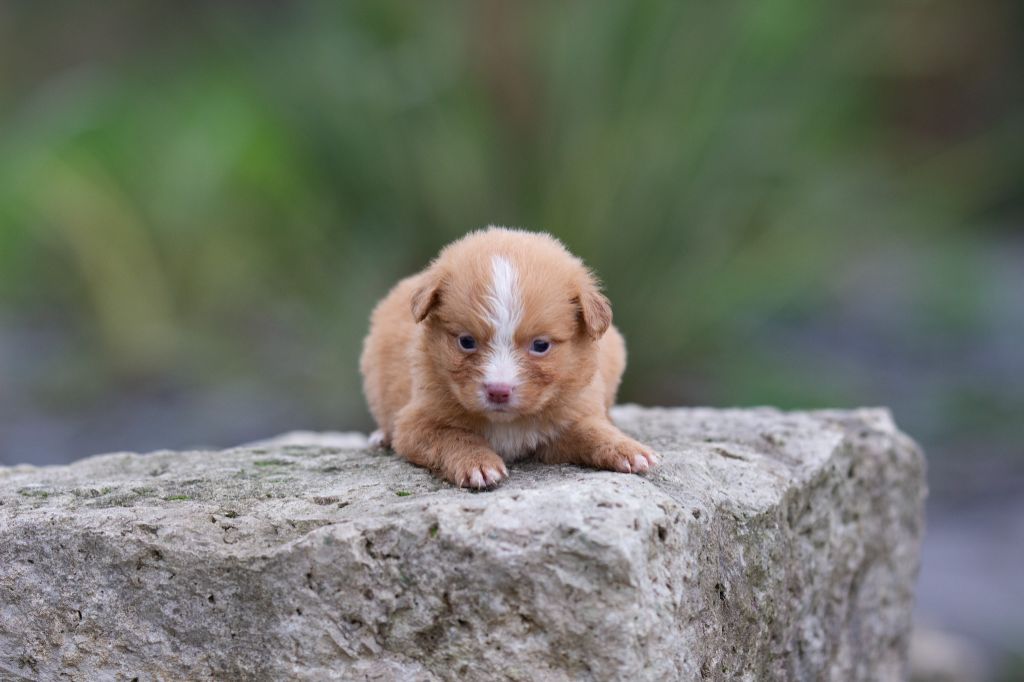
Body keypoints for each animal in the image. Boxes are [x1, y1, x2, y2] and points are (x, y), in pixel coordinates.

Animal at [360, 227, 658, 489]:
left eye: (540, 345)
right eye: (466, 341)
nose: (498, 391)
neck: (508, 423)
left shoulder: (570, 416)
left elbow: (592, 430)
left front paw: (627, 449)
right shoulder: (416, 423)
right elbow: (454, 437)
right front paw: (477, 464)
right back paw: (381, 436)